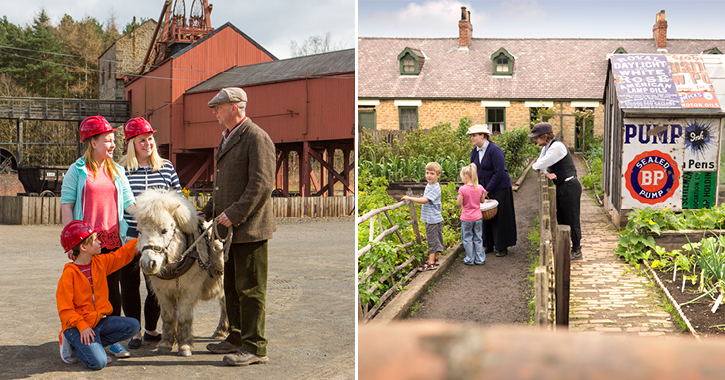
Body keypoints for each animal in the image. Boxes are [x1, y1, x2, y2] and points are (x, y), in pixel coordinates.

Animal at [133, 189, 228, 356]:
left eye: (164, 230)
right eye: (139, 231)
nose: (148, 264)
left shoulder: (189, 291)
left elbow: (184, 317)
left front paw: (184, 346)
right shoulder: (163, 292)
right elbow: (168, 317)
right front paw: (165, 344)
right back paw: (221, 331)